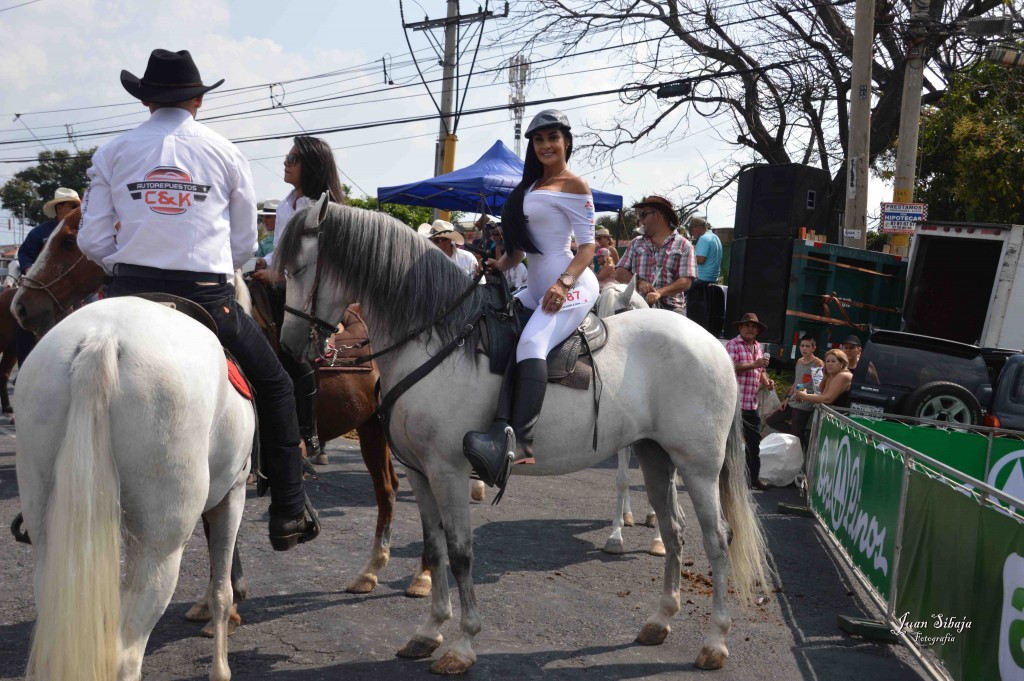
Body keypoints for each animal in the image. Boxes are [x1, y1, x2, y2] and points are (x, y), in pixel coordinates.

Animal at [12, 205, 432, 602]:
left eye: (68, 241)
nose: (21, 306)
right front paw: (224, 591)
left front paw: (229, 592)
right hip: (372, 426)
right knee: (390, 488)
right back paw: (371, 571)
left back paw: (421, 576)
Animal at [14, 299, 253, 679]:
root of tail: (102, 338)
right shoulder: (233, 496)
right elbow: (221, 591)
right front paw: (221, 669)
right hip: (160, 552)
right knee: (125, 655)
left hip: (49, 545)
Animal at [274, 197, 770, 675]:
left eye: (298, 268)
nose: (289, 346)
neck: (434, 338)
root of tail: (712, 344)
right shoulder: (419, 471)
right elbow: (435, 548)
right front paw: (429, 632)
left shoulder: (448, 471)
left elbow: (460, 553)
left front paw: (462, 644)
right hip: (655, 456)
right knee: (673, 530)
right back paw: (660, 620)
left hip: (698, 468)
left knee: (716, 540)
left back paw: (714, 642)